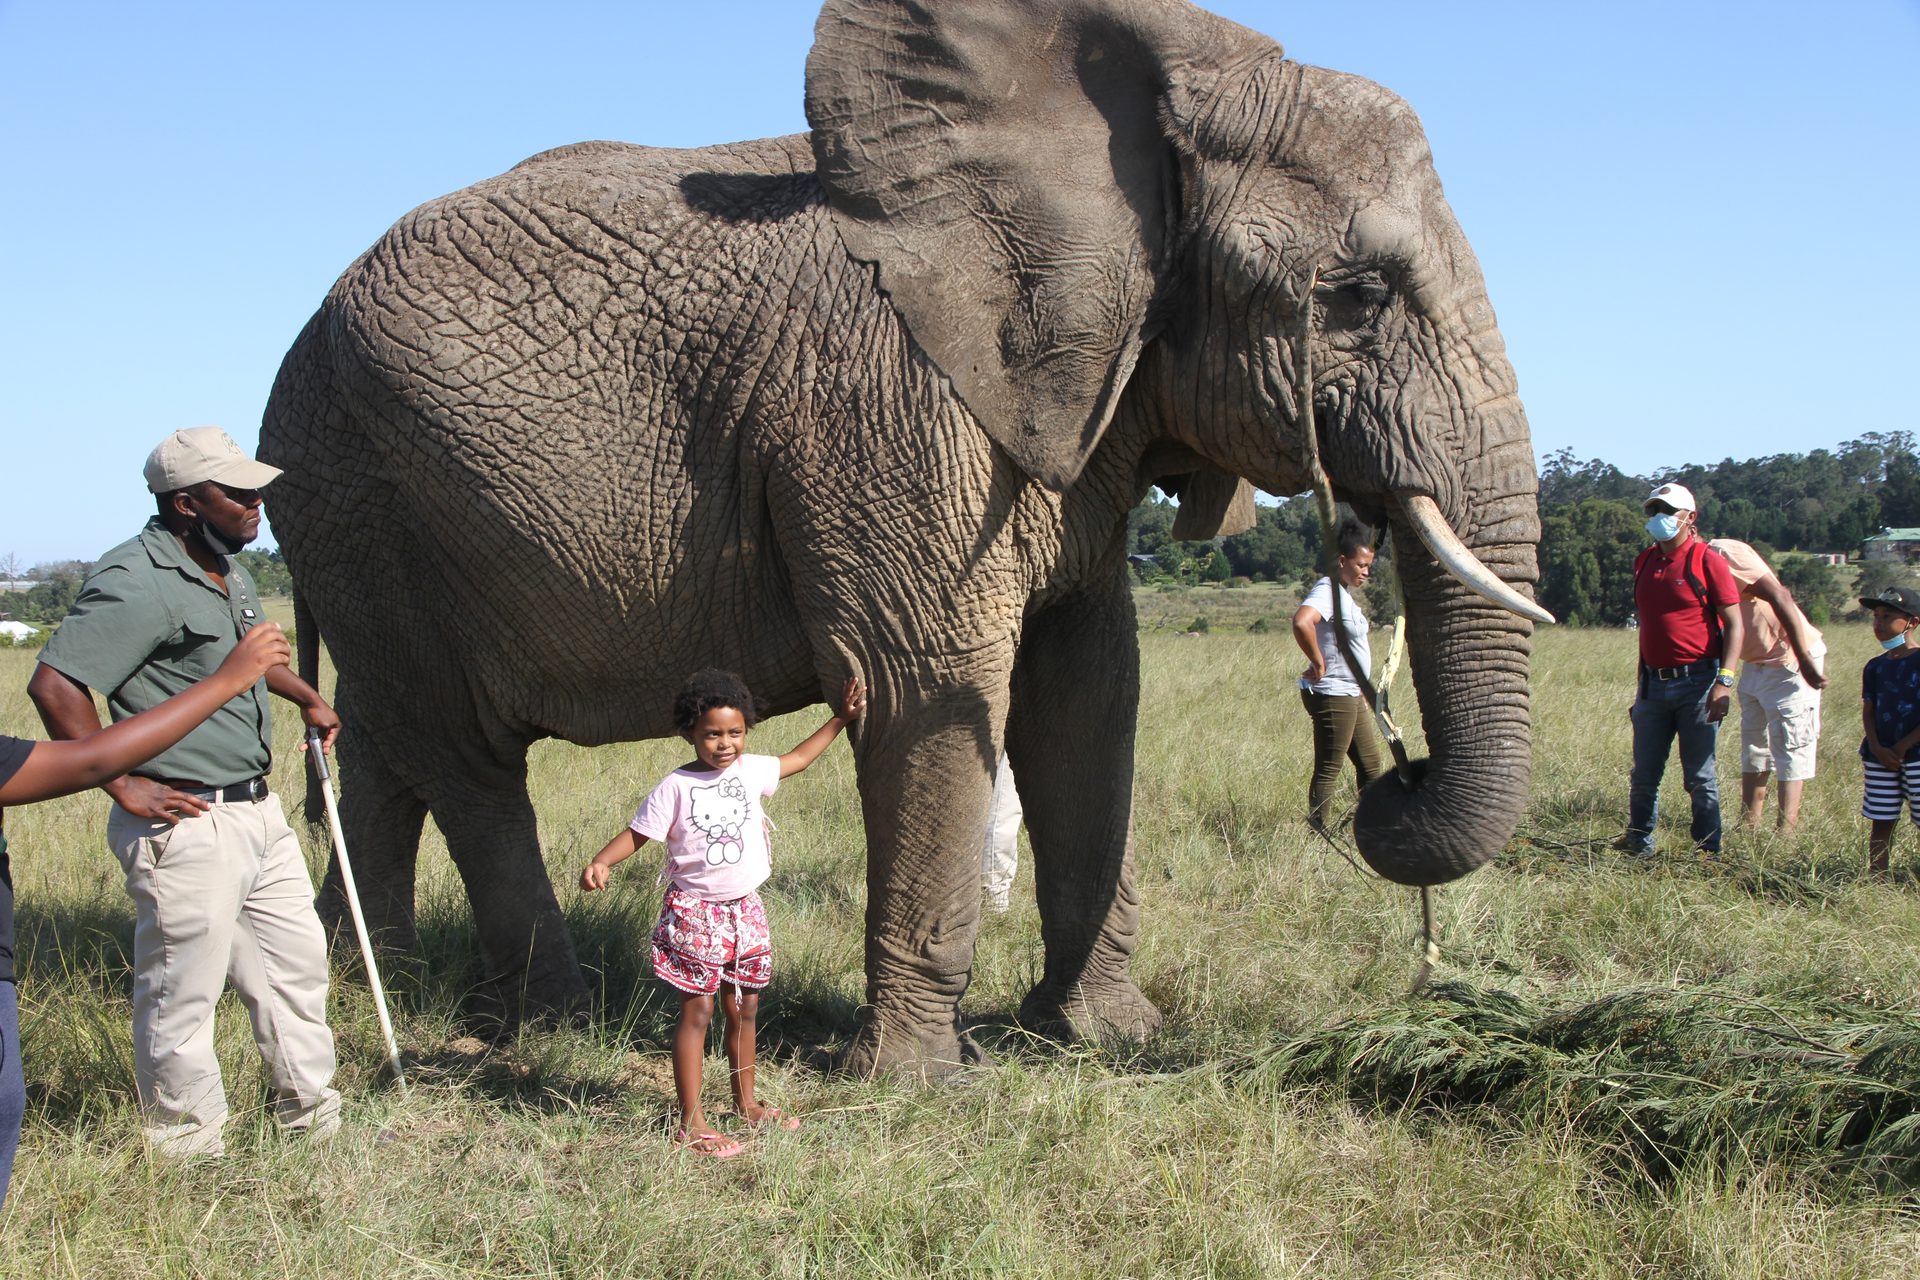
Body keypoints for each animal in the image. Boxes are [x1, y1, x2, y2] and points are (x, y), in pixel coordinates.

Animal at [259, 0, 1550, 1076]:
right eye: (1358, 295)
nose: (1400, 777)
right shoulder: (887, 399)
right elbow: (931, 681)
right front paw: (920, 1082)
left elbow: (1087, 688)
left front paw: (1102, 1036)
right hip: (365, 491)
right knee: (466, 760)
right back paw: (559, 1021)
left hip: (365, 514)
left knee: (386, 747)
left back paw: (388, 987)